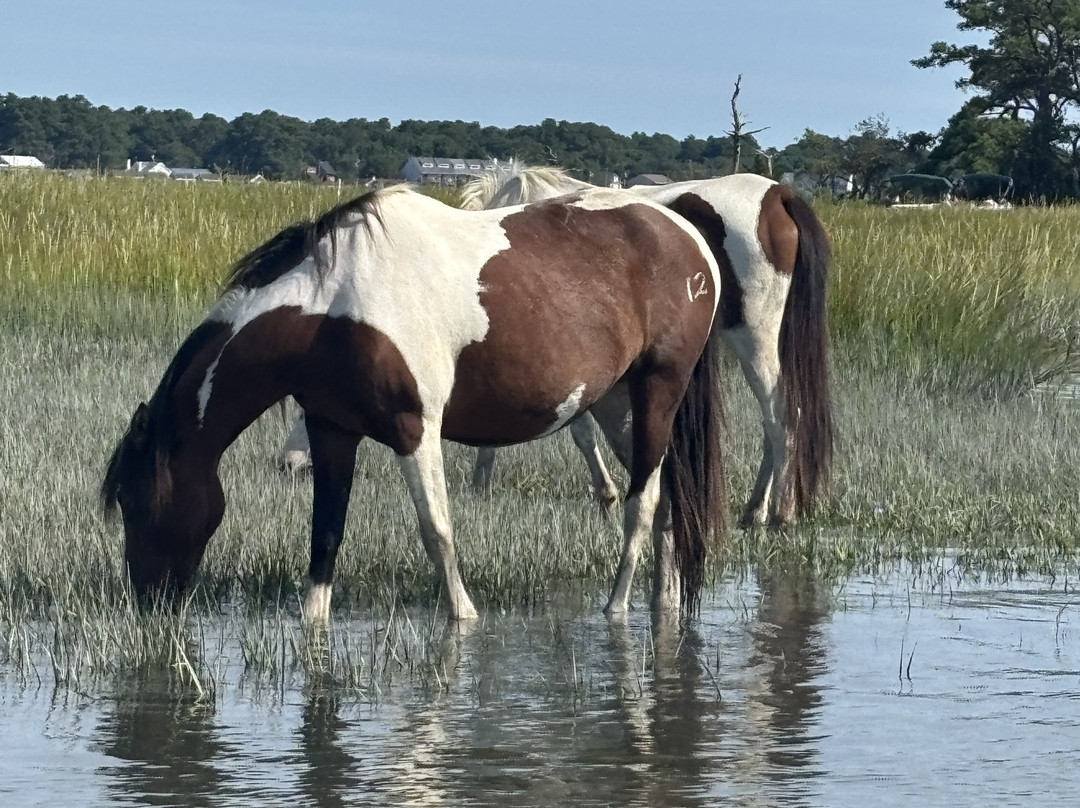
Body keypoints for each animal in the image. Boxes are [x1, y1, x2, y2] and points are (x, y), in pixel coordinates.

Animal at [102, 186, 728, 623]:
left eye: (135, 500)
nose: (146, 599)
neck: (331, 308)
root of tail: (684, 231)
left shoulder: (415, 430)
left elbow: (436, 529)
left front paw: (464, 618)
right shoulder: (331, 430)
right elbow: (325, 533)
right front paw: (312, 629)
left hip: (658, 390)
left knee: (643, 502)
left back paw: (617, 606)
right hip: (619, 405)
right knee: (668, 495)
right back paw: (665, 600)